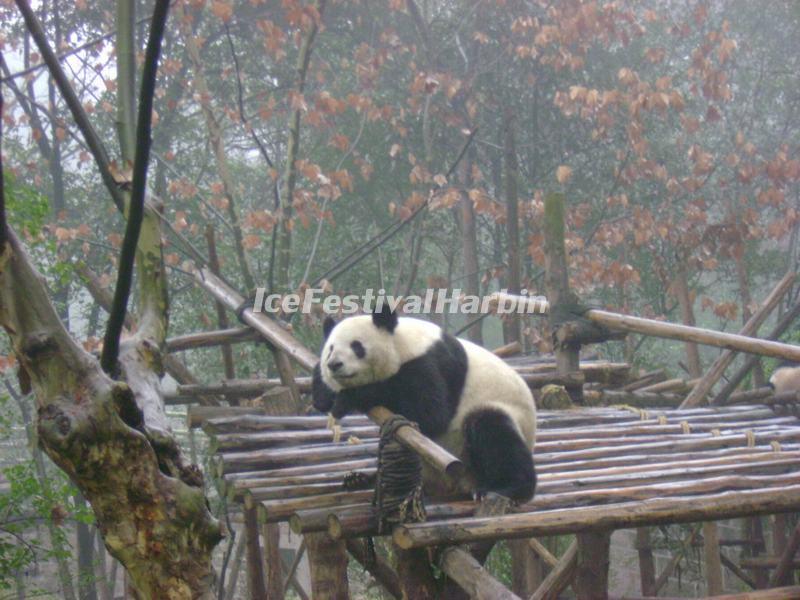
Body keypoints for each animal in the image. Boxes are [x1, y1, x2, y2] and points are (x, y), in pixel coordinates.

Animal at [312, 305, 537, 502]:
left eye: (356, 346)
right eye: (330, 348)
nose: (334, 364)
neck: (403, 343)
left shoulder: (430, 363)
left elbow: (430, 414)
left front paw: (349, 398)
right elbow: (319, 399)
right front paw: (325, 390)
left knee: (492, 431)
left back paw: (505, 488)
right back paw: (359, 479)